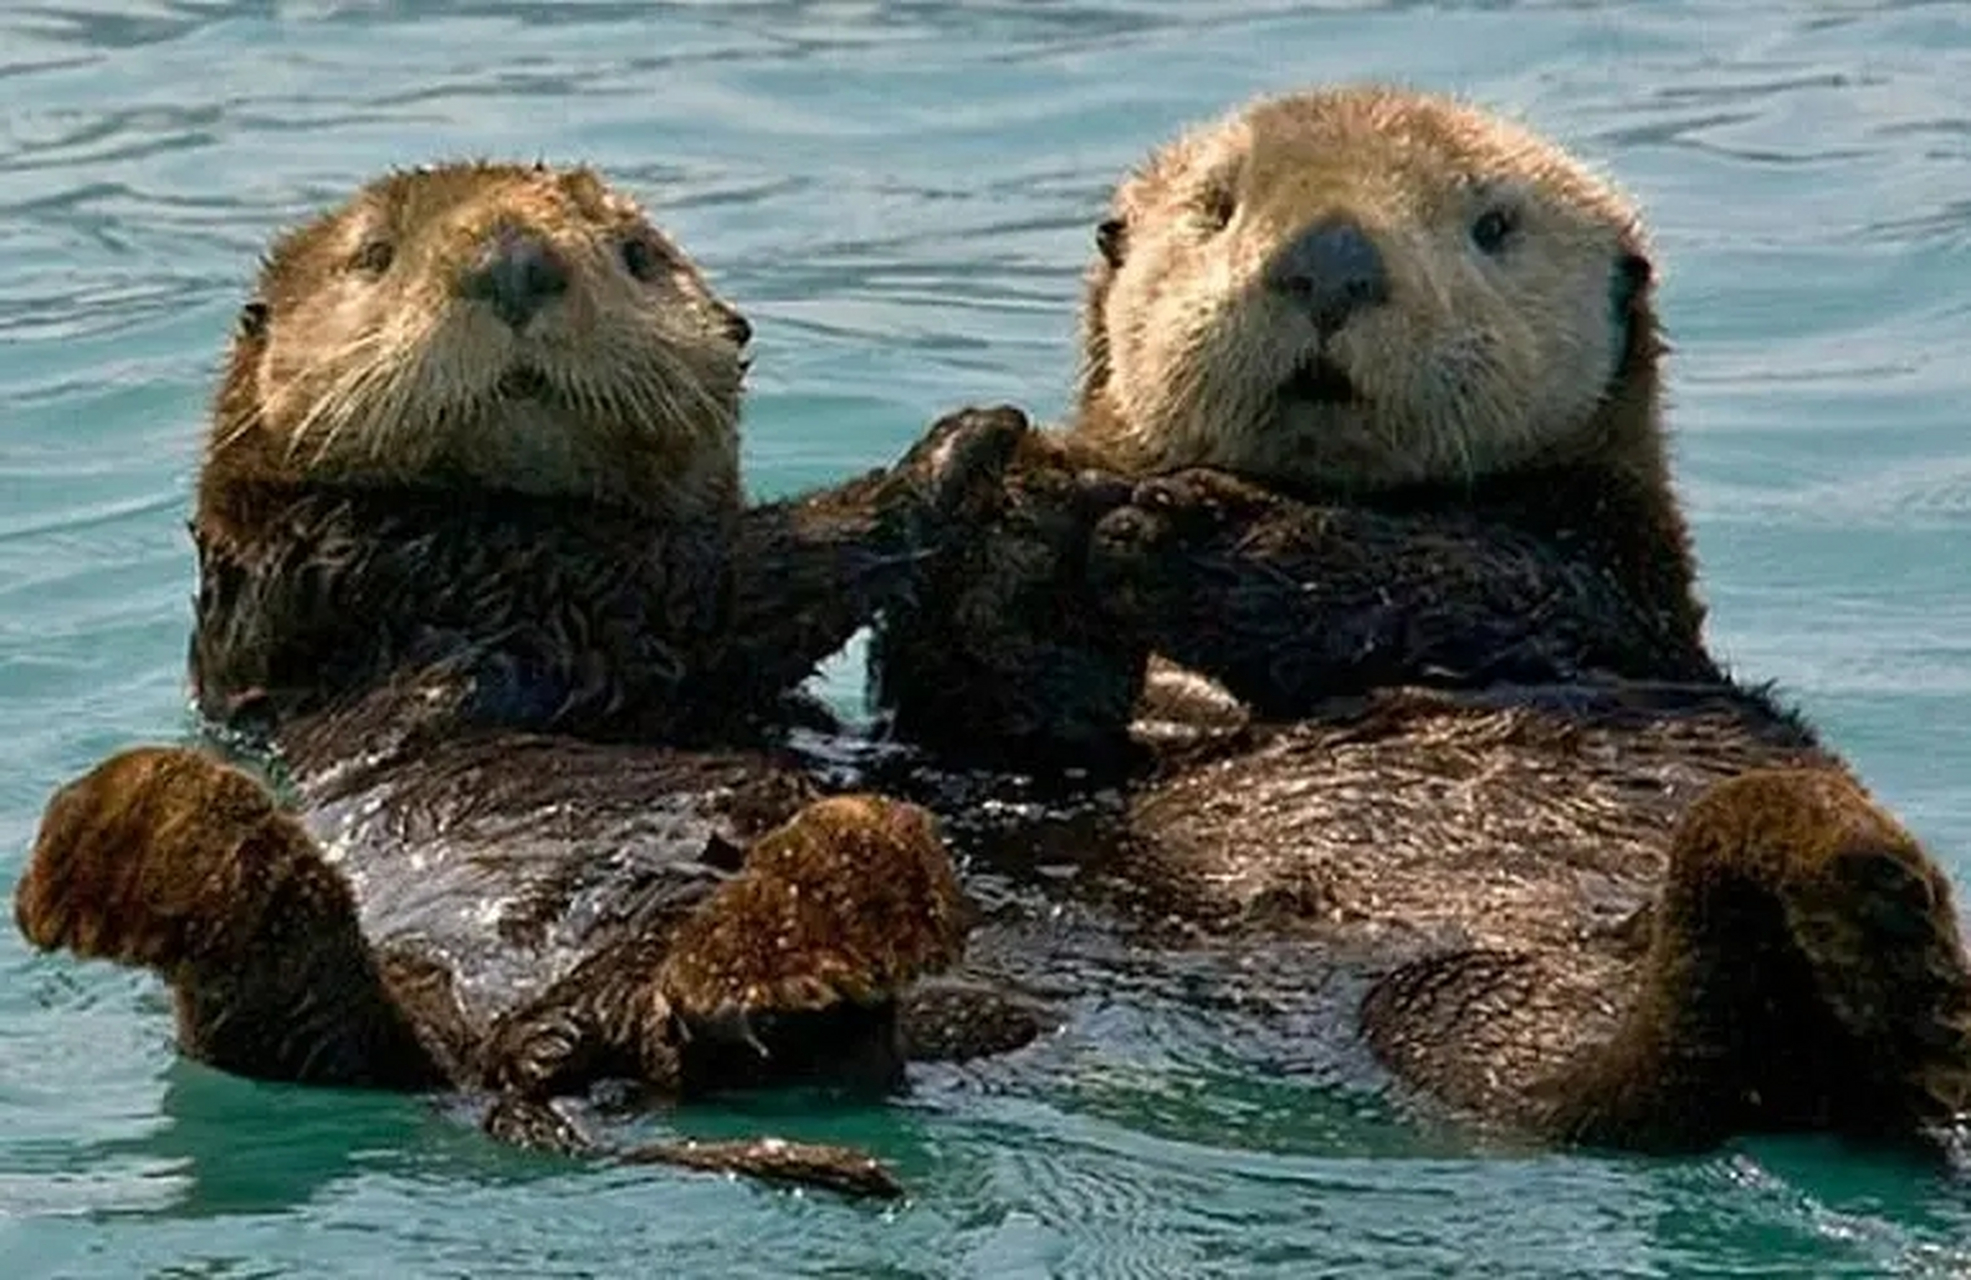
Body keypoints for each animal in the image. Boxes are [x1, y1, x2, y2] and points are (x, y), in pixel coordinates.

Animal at [11, 162, 1032, 1199]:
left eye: (635, 254)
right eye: (374, 255)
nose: (514, 261)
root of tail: (539, 1053)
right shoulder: (431, 574)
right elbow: (721, 581)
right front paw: (965, 444)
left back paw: (821, 906)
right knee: (293, 1031)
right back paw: (148, 841)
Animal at [871, 84, 1971, 1151]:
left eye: (1492, 225)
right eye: (1216, 204)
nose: (1330, 259)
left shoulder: (1588, 579)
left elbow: (1436, 583)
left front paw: (1182, 527)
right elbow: (1016, 710)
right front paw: (1027, 499)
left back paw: (1854, 922)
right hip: (1451, 1003)